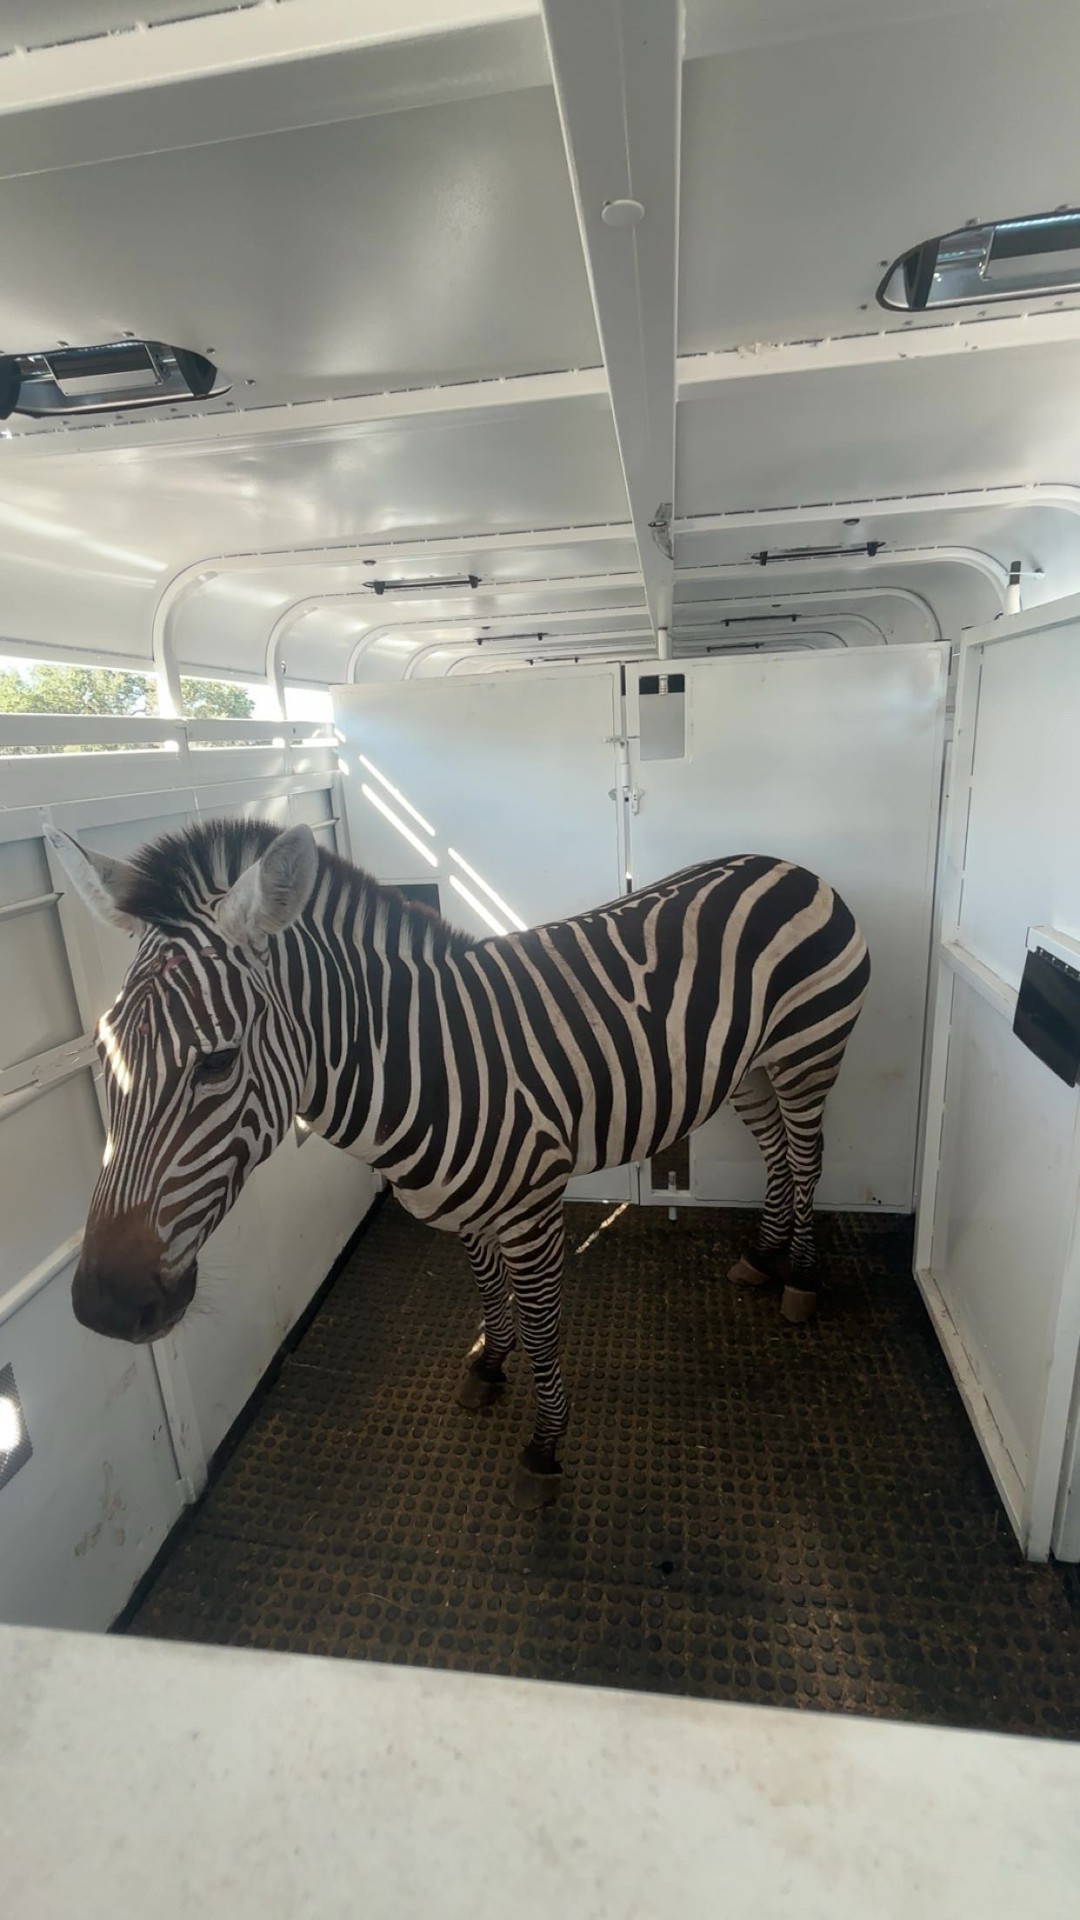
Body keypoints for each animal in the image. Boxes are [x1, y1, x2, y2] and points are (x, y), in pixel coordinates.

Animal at [48, 819, 870, 1510]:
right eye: (103, 1052)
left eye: (216, 1064)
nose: (103, 1304)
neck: (423, 1061)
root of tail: (783, 863)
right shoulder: (466, 1202)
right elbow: (486, 1288)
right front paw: (488, 1363)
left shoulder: (534, 1206)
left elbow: (541, 1324)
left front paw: (544, 1445)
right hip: (747, 1067)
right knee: (775, 1153)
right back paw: (763, 1257)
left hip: (808, 1052)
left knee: (806, 1157)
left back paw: (800, 1277)